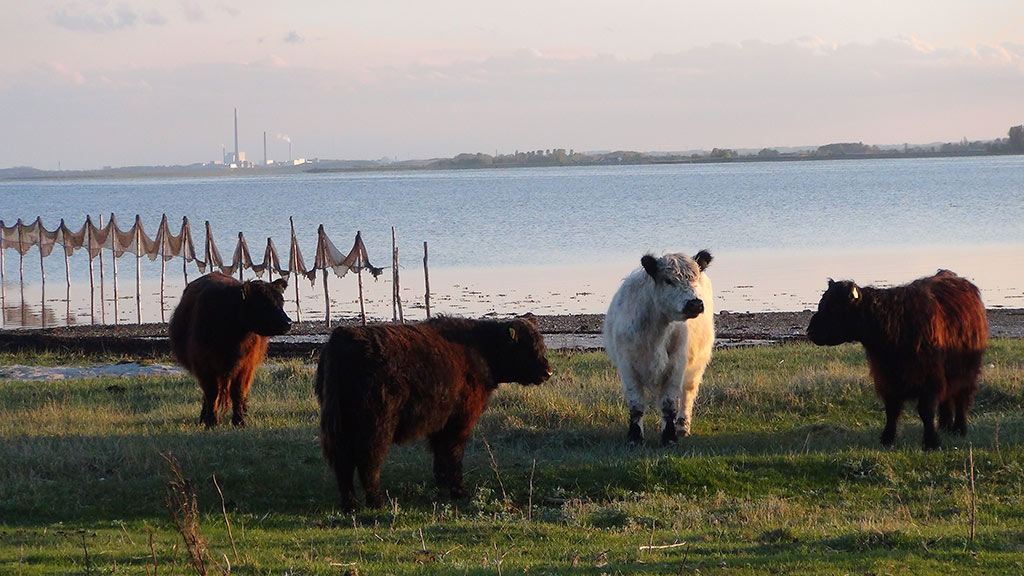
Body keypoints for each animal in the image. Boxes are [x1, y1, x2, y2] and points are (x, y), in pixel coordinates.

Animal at [169, 272, 291, 428]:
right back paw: (204, 417)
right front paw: (211, 421)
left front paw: (239, 421)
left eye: (281, 301)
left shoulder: (246, 365)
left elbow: (238, 392)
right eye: (263, 303)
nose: (288, 323)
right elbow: (212, 393)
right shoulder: (203, 365)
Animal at [314, 315, 552, 511]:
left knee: (343, 464)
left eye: (541, 344)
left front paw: (442, 485)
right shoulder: (460, 420)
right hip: (376, 426)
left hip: (342, 427)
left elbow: (440, 454)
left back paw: (351, 505)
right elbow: (454, 453)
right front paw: (459, 490)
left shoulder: (441, 423)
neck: (480, 350)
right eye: (528, 347)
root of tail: (343, 336)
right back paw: (377, 502)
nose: (548, 372)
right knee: (367, 462)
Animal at [603, 250, 715, 446]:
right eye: (668, 280)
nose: (694, 303)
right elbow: (636, 405)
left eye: (695, 278)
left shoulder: (676, 367)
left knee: (687, 395)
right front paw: (635, 438)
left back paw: (682, 427)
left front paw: (669, 437)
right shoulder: (627, 367)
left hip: (696, 367)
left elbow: (669, 404)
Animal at [806, 270, 987, 450]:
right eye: (822, 303)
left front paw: (931, 442)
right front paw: (887, 438)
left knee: (962, 398)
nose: (810, 331)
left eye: (834, 307)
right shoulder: (887, 379)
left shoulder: (929, 378)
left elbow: (926, 410)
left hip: (967, 371)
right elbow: (891, 410)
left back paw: (960, 428)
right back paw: (945, 426)